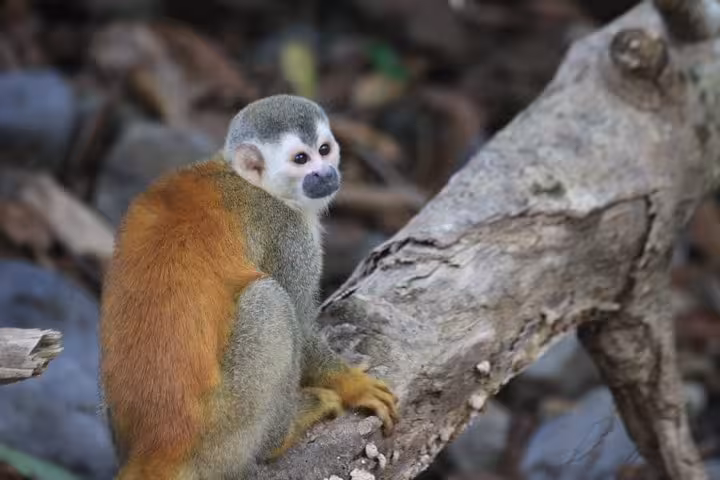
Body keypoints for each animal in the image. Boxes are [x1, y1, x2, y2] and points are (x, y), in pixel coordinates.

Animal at [99, 94, 398, 480]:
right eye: (301, 159)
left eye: (324, 149)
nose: (326, 174)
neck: (257, 186)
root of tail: (156, 450)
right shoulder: (288, 234)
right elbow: (301, 323)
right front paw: (351, 385)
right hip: (224, 428)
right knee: (271, 301)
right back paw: (284, 433)